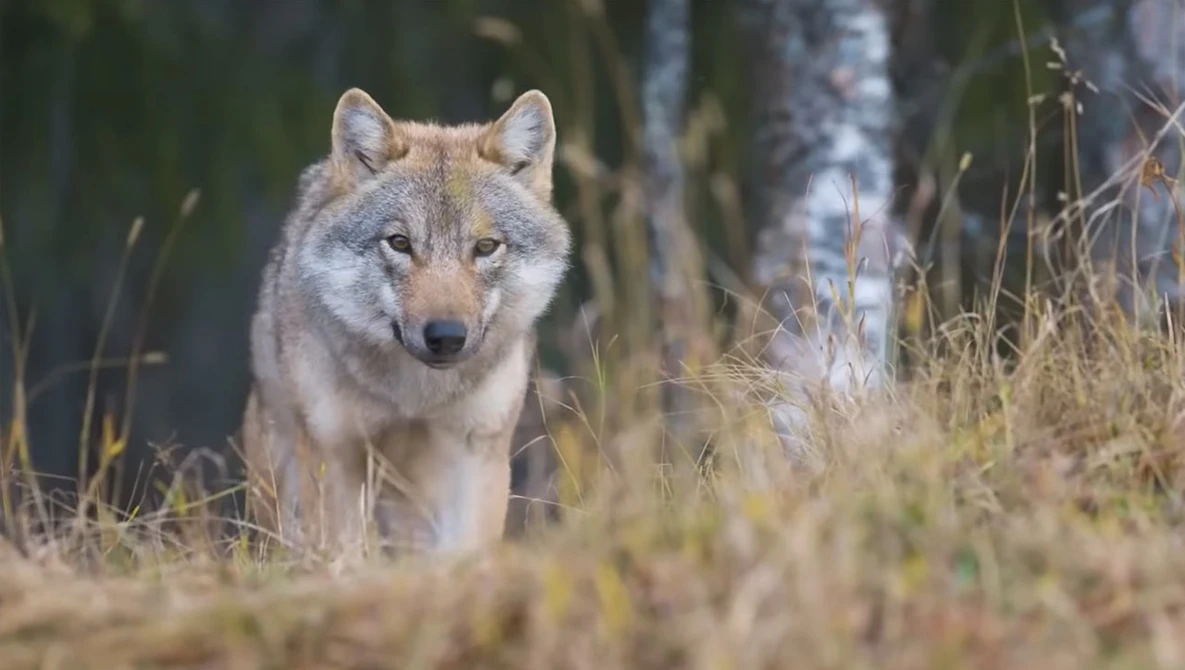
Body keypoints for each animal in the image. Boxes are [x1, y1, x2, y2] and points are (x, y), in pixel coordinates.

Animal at [240, 87, 571, 559]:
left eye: (485, 247)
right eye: (399, 243)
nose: (447, 336)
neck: (416, 398)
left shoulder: (478, 451)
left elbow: (467, 550)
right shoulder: (332, 450)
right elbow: (343, 551)